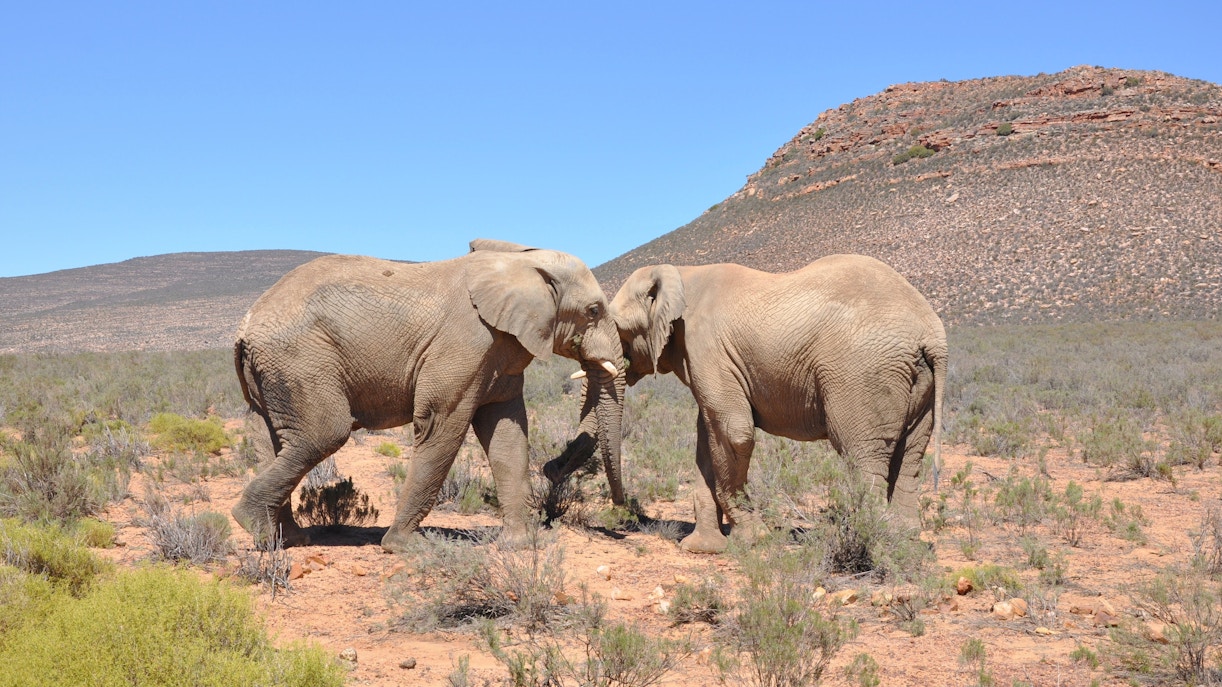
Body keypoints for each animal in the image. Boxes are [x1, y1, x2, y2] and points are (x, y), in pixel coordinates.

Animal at [231, 239, 623, 553]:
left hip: (270, 373)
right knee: (324, 434)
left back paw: (286, 539)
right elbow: (440, 427)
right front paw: (406, 547)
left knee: (270, 439)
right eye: (594, 311)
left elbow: (507, 436)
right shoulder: (464, 346)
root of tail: (246, 324)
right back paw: (255, 526)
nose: (554, 468)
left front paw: (520, 545)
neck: (518, 260)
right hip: (299, 360)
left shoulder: (503, 353)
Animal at [545, 254, 946, 553]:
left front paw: (753, 537)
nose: (551, 469)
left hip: (861, 376)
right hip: (916, 386)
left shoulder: (706, 345)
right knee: (910, 456)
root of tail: (931, 334)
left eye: (619, 331)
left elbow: (733, 431)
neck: (682, 274)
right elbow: (707, 437)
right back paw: (902, 539)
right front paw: (703, 548)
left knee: (861, 455)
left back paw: (867, 539)